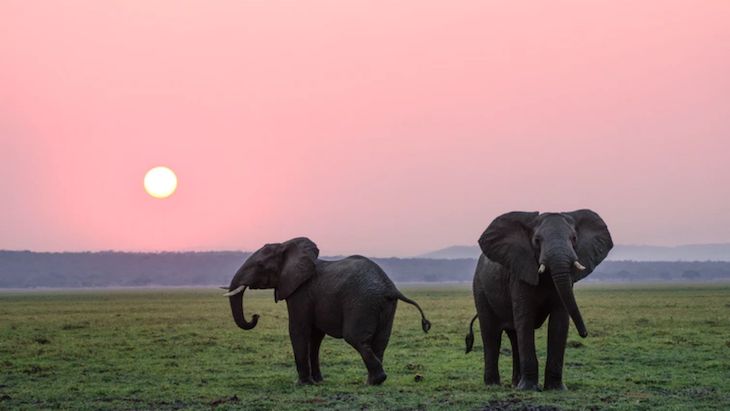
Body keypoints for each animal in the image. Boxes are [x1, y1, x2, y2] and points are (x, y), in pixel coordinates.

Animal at [224, 237, 431, 385]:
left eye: (260, 266)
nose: (255, 316)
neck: (286, 245)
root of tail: (390, 287)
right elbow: (315, 336)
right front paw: (318, 381)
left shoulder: (300, 292)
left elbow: (298, 330)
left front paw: (302, 384)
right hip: (386, 305)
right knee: (380, 342)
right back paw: (373, 382)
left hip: (362, 303)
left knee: (355, 338)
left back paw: (375, 381)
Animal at [465, 210, 612, 391]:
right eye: (536, 240)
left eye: (574, 238)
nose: (584, 334)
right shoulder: (520, 274)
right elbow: (525, 319)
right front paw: (528, 389)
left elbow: (559, 322)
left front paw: (556, 389)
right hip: (480, 288)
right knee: (491, 334)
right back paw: (493, 385)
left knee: (514, 336)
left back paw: (515, 384)